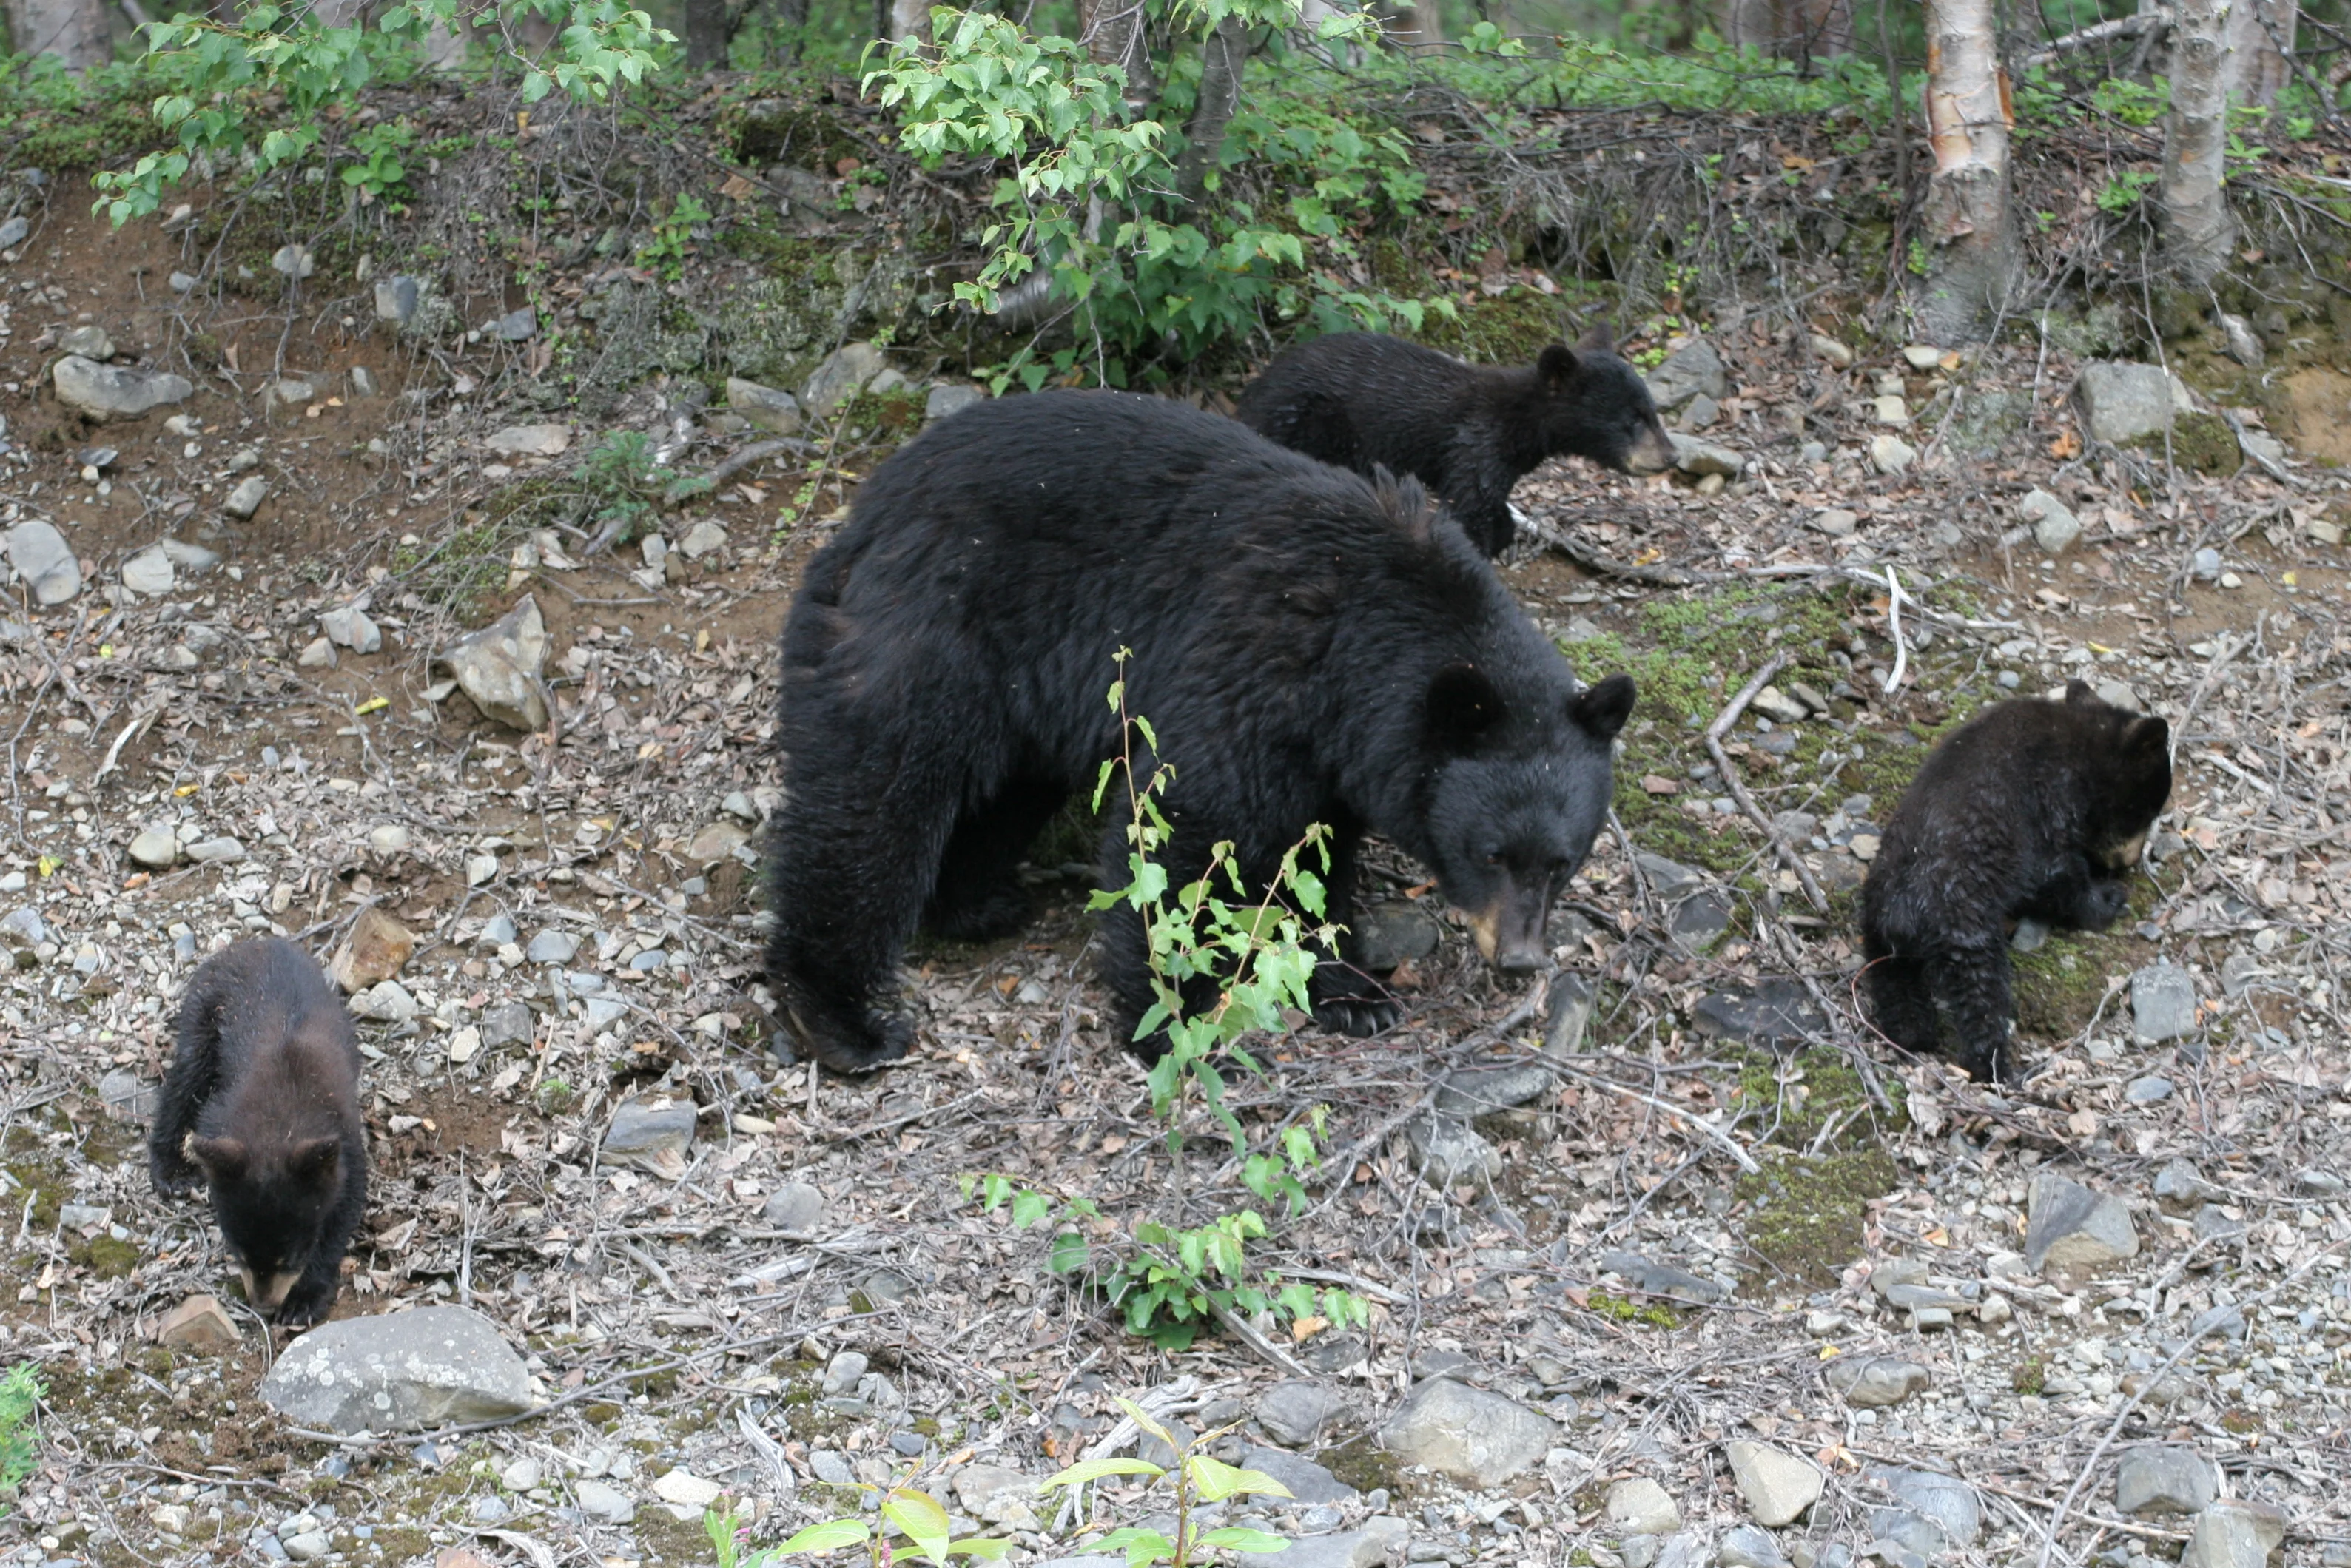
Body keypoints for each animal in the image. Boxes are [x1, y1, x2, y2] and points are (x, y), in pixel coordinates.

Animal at [148, 937, 368, 1324]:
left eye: (290, 1257)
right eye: (239, 1252)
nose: (264, 1305)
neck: (278, 1121)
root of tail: (257, 942)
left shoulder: (345, 1140)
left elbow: (345, 1207)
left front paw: (303, 1300)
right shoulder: (222, 1118)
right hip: (204, 1011)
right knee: (185, 1076)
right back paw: (170, 1170)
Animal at [763, 388, 1637, 1073]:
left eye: (1563, 861)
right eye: (1490, 853)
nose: (1519, 958)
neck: (1357, 643)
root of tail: (865, 511)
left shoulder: (1336, 753)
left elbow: (1313, 859)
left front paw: (1352, 991)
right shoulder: (1251, 673)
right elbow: (1191, 830)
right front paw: (1173, 1014)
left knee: (999, 793)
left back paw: (976, 904)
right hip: (934, 628)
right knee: (875, 798)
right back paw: (842, 1018)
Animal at [1231, 325, 1677, 557]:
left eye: (1652, 409)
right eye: (1632, 419)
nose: (1671, 456)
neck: (1523, 427)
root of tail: (1253, 390)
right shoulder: (1477, 443)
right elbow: (1471, 506)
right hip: (1305, 422)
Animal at [1860, 681, 2173, 1084]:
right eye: (2146, 810)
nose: (2128, 863)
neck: (2084, 739)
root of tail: (1900, 915)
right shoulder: (2050, 795)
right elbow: (2052, 873)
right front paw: (2108, 901)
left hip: (1877, 932)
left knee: (1894, 983)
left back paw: (1912, 1032)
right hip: (1962, 921)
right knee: (1982, 992)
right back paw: (1998, 1066)